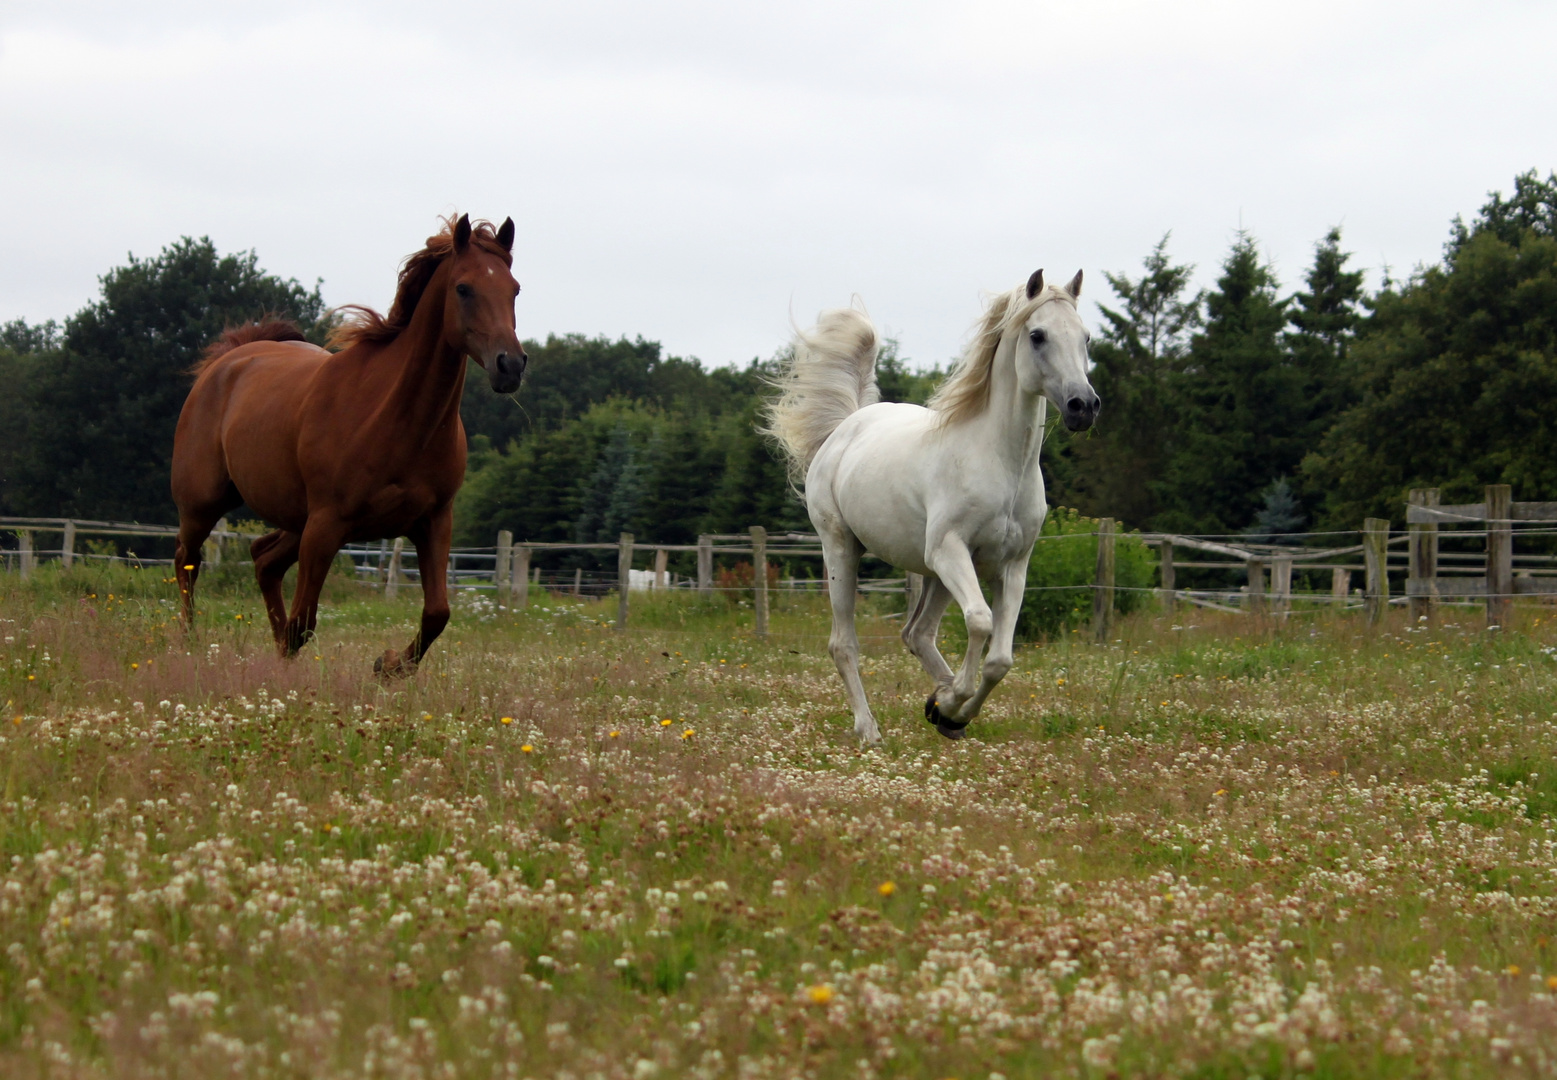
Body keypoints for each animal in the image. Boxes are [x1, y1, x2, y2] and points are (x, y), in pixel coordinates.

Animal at [170, 214, 523, 672]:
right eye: (463, 288)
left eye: (514, 288)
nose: (510, 364)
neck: (394, 418)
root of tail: (228, 360)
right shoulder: (326, 524)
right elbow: (304, 622)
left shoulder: (433, 522)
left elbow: (437, 613)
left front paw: (388, 666)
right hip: (204, 504)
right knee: (188, 561)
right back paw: (189, 641)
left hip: (295, 520)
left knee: (264, 560)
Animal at [766, 270, 1096, 743]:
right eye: (1038, 335)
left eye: (1086, 337)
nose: (1083, 406)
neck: (999, 461)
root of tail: (846, 427)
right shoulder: (950, 550)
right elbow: (979, 621)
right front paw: (952, 705)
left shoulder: (1012, 566)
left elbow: (1000, 659)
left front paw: (952, 713)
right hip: (844, 550)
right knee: (844, 643)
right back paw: (870, 729)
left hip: (933, 574)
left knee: (917, 634)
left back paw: (940, 702)